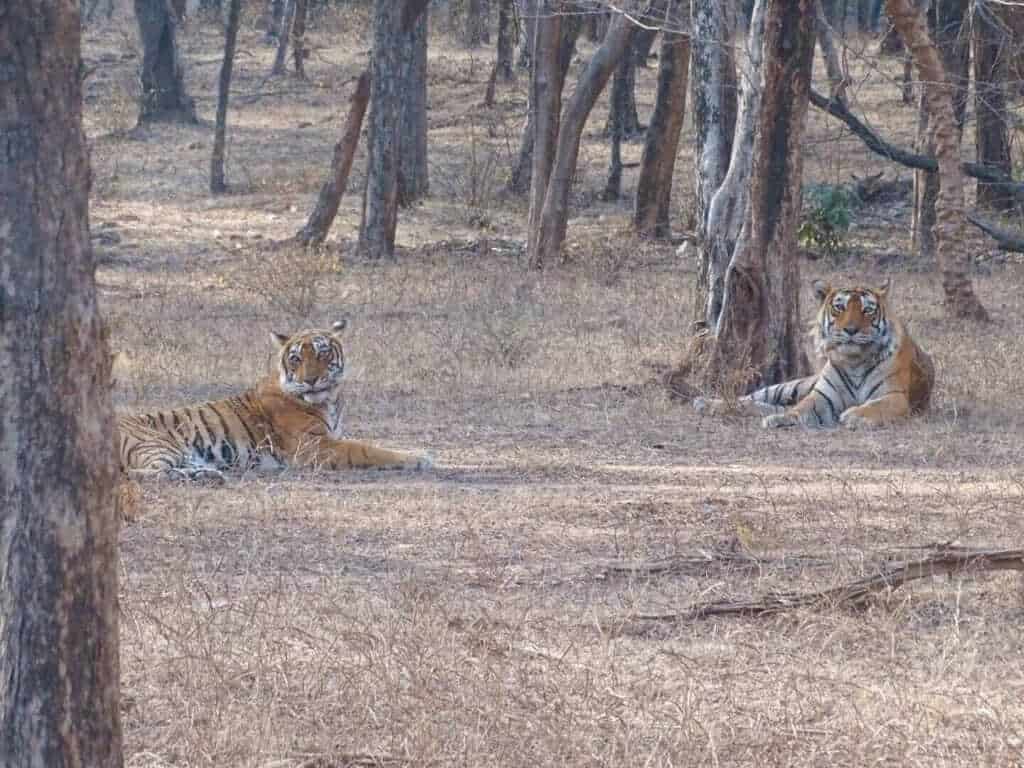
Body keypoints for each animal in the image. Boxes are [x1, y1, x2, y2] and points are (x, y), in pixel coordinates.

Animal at [118, 319, 432, 481]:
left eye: (322, 353)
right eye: (295, 358)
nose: (310, 380)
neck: (329, 400)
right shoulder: (315, 447)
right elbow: (369, 450)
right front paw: (420, 457)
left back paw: (210, 473)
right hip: (157, 444)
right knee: (145, 473)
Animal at [696, 280, 937, 430]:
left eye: (867, 310)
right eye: (840, 308)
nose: (851, 330)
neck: (854, 362)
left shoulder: (894, 397)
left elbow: (874, 407)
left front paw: (854, 415)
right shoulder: (822, 395)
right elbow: (801, 408)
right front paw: (784, 419)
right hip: (794, 385)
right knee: (751, 398)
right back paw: (708, 403)